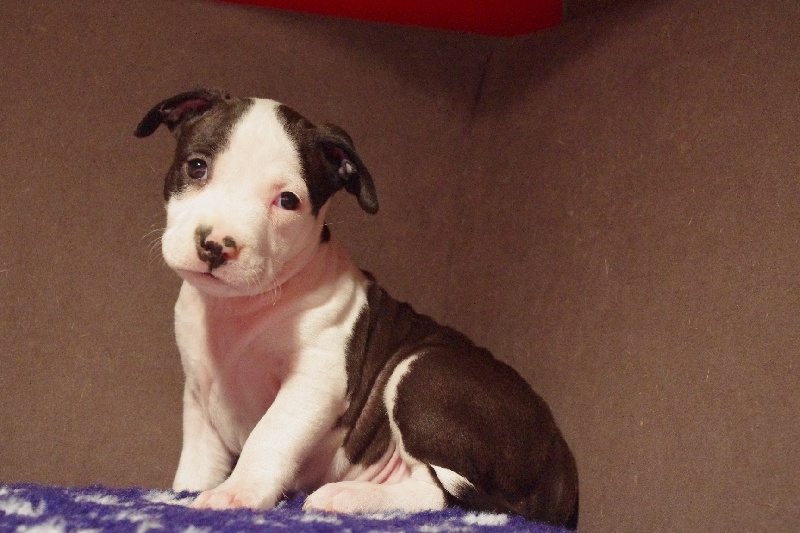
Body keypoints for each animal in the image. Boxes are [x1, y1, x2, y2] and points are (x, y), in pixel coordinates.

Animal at [135, 89, 579, 528]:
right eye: (197, 167)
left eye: (287, 200)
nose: (215, 245)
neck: (239, 309)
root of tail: (562, 469)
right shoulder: (201, 397)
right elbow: (195, 465)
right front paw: (182, 494)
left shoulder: (314, 381)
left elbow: (269, 435)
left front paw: (236, 494)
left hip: (424, 371)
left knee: (442, 492)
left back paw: (345, 496)